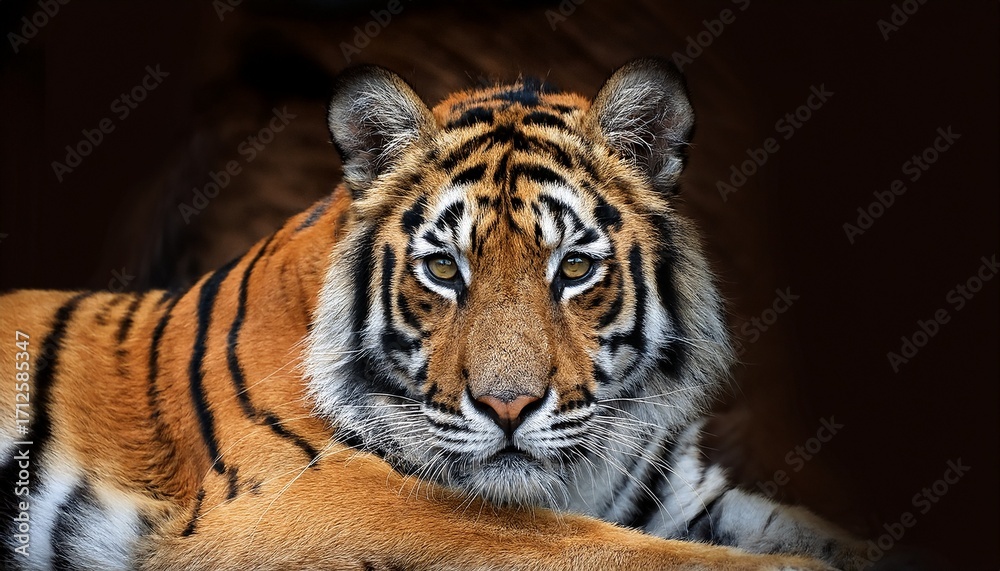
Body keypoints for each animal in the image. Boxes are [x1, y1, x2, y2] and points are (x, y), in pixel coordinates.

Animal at [0, 59, 873, 570]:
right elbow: (570, 539)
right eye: (444, 269)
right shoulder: (297, 495)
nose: (509, 407)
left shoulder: (680, 492)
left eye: (574, 267)